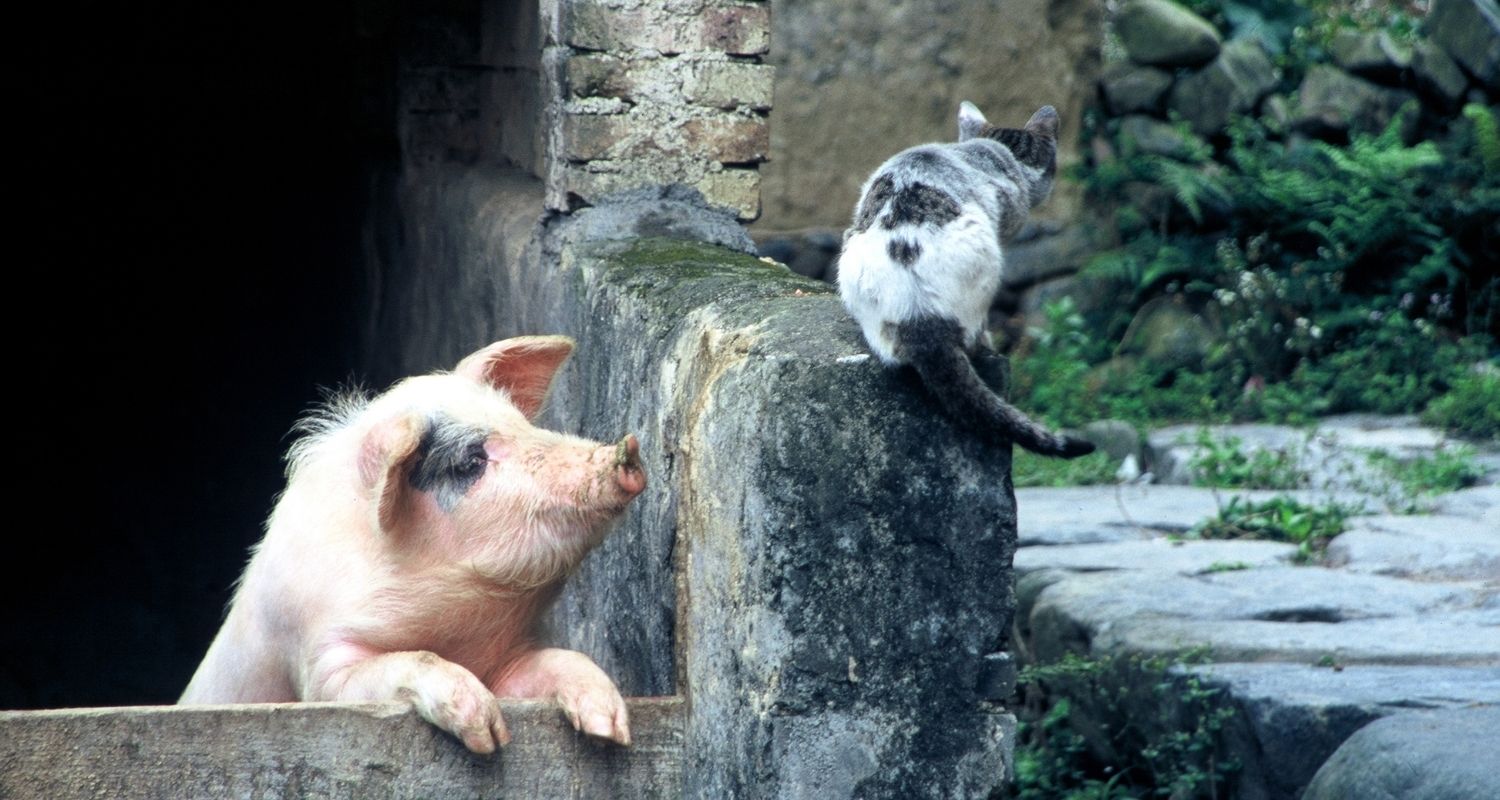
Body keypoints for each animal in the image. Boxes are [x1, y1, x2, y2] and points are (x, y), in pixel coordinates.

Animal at [180, 333, 645, 750]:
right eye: (471, 462)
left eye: (521, 425)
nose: (627, 450)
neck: (446, 629)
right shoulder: (319, 665)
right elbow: (411, 661)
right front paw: (488, 737)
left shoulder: (507, 660)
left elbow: (560, 660)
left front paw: (610, 731)